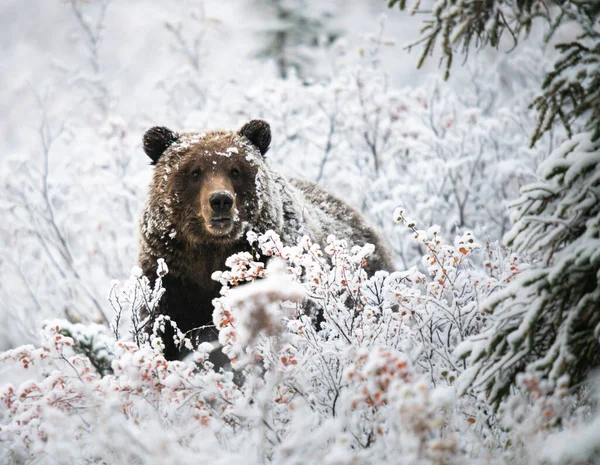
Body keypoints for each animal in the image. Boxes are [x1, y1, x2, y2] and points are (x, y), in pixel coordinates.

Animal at [139, 119, 394, 362]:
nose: (220, 200)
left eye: (235, 170)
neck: (212, 252)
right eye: (195, 171)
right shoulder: (171, 279)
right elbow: (161, 331)